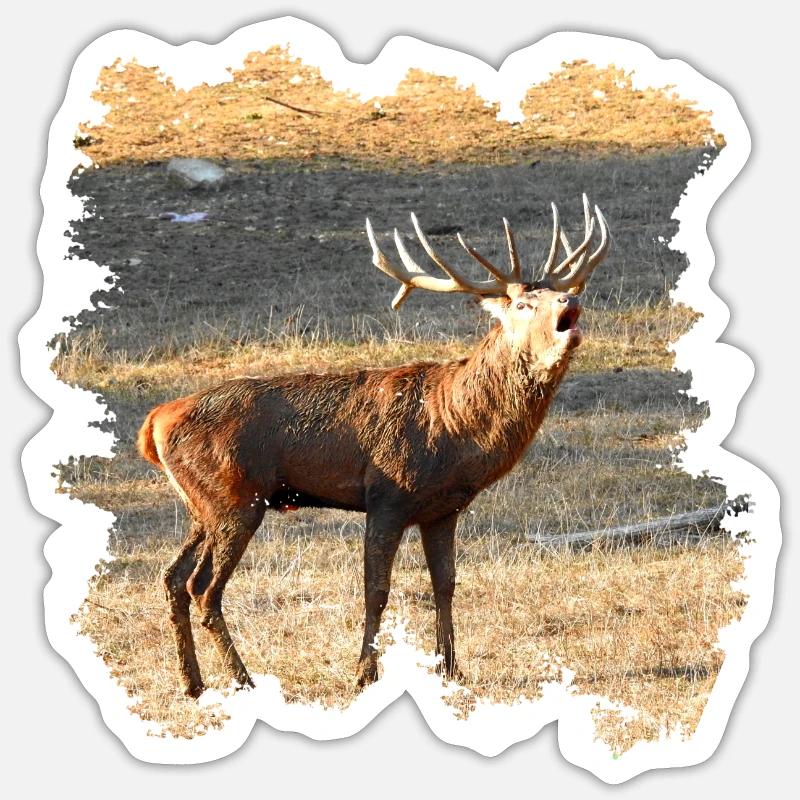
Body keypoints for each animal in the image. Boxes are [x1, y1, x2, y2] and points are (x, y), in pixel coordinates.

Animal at [137, 195, 610, 698]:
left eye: (554, 292)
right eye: (522, 302)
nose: (570, 298)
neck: (455, 430)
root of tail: (155, 422)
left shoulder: (443, 509)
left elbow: (445, 584)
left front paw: (451, 668)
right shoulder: (387, 496)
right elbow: (376, 589)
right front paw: (365, 673)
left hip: (203, 504)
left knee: (172, 577)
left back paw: (193, 683)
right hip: (235, 499)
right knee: (203, 588)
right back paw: (244, 680)